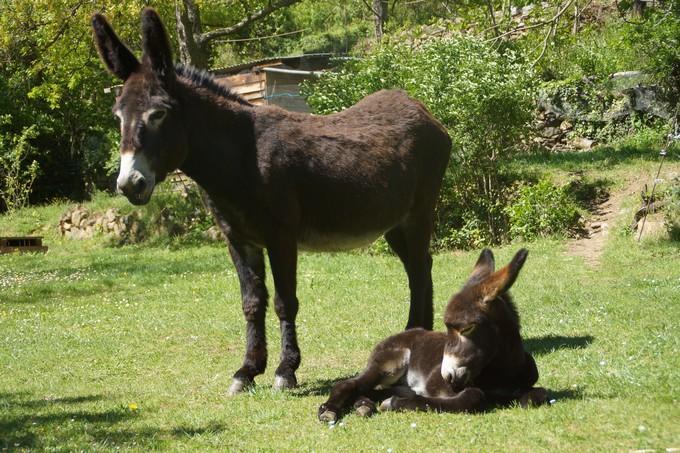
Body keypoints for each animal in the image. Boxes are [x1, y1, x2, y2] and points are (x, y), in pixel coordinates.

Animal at [318, 247, 548, 420]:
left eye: (467, 328)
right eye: (448, 329)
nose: (447, 375)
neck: (500, 374)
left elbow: (539, 395)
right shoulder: (441, 387)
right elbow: (474, 395)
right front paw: (395, 404)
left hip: (400, 384)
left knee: (369, 391)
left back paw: (364, 405)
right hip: (390, 363)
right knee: (349, 384)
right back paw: (331, 410)